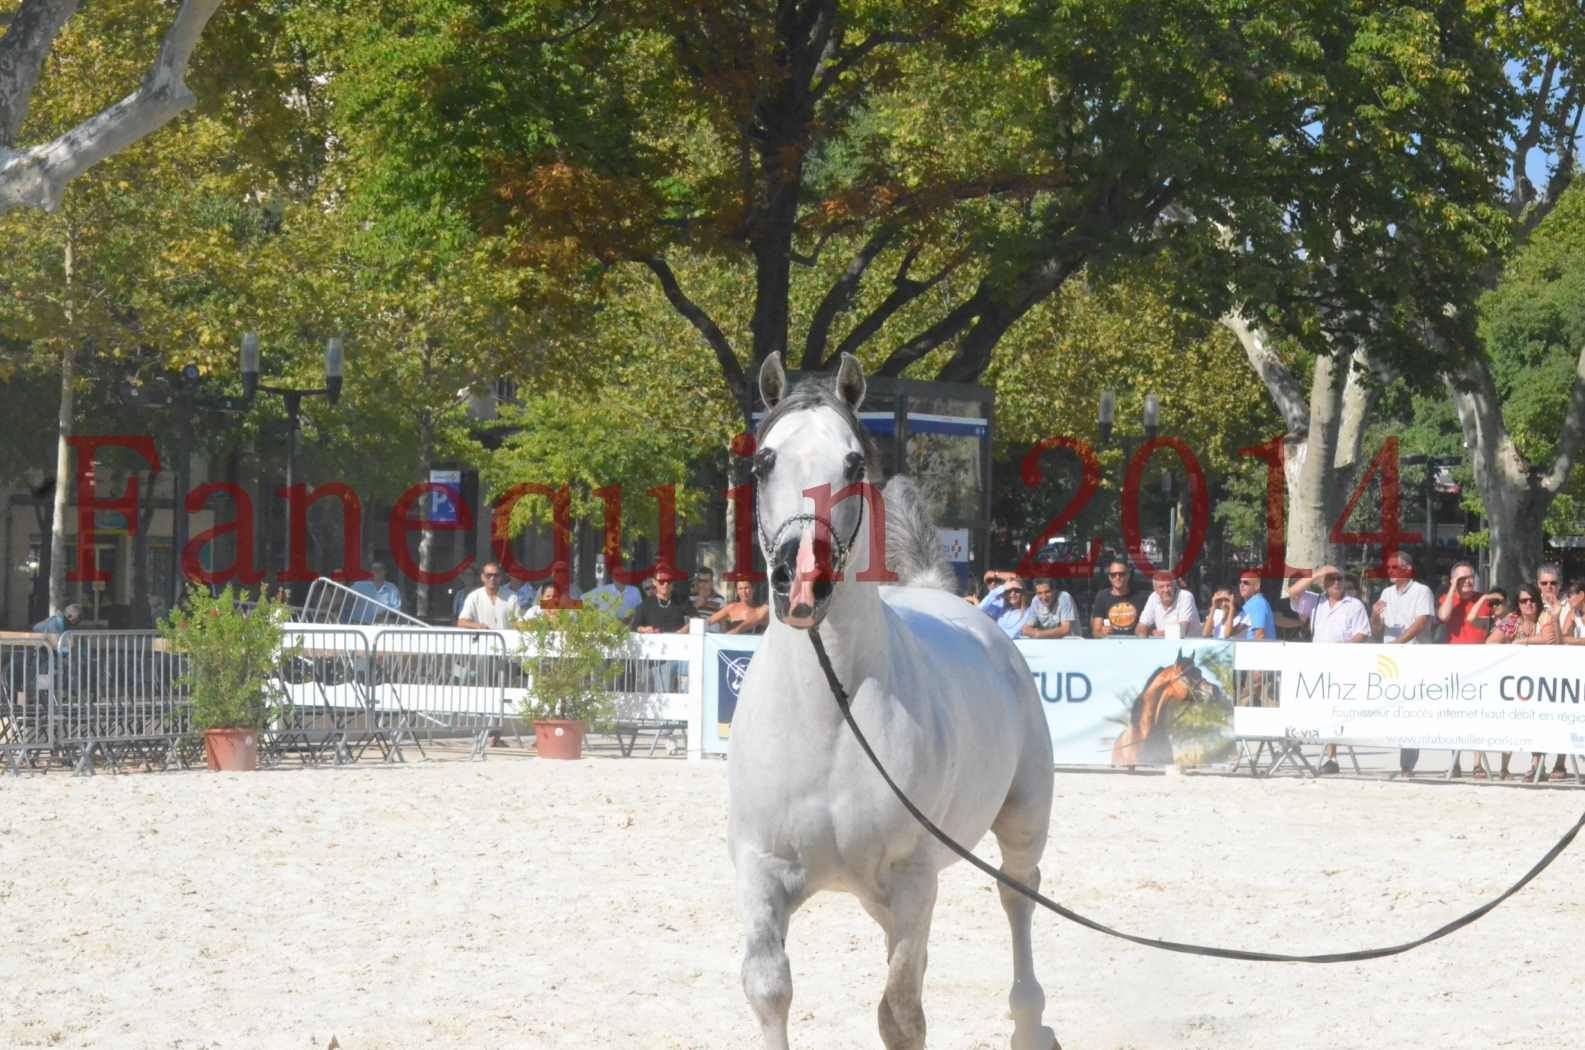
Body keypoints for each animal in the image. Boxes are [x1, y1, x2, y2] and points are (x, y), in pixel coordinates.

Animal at [732, 355, 1065, 1050]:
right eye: (764, 462)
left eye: (854, 463)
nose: (802, 578)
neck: (829, 715)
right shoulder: (760, 870)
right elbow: (770, 989)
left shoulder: (914, 877)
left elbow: (901, 1013)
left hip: (1021, 823)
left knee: (1019, 895)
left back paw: (1029, 1020)